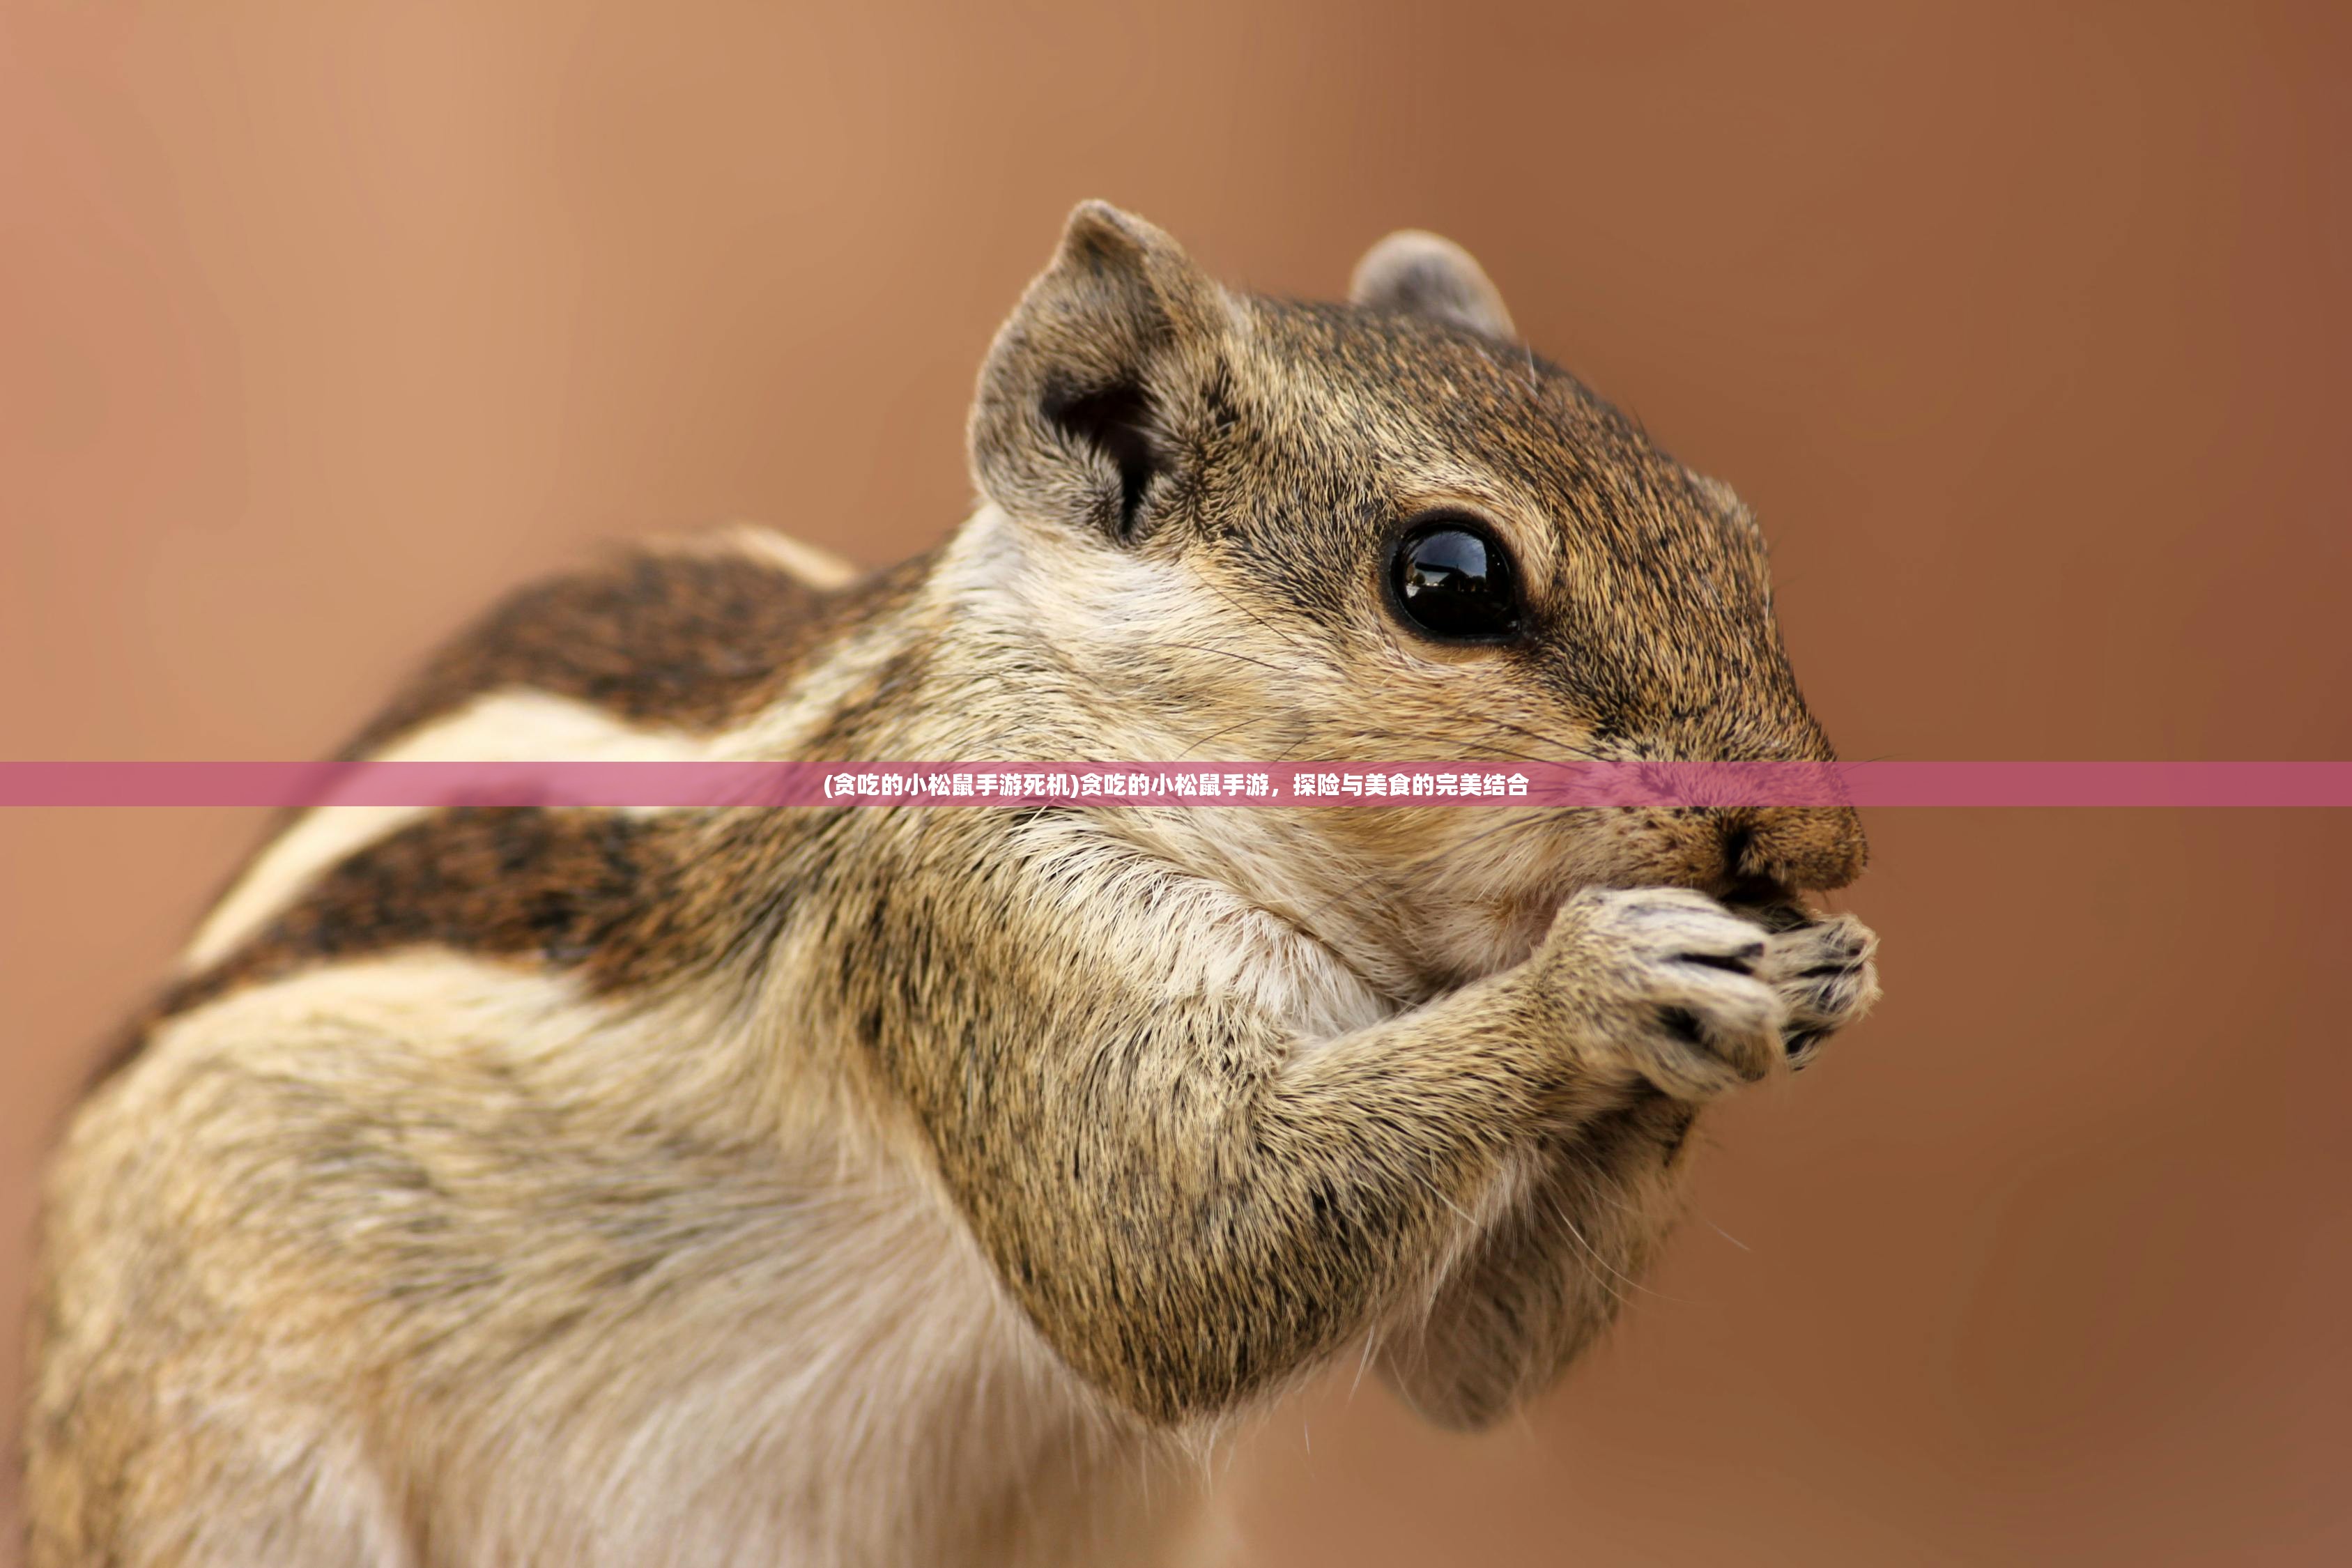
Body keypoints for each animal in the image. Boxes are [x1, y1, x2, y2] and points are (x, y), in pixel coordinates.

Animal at [22, 206, 1872, 1568]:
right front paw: (1605, 977)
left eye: (1735, 534)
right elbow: (1176, 1261)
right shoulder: (980, 918)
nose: (1817, 849)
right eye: (1449, 577)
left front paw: (1813, 970)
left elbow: (1457, 1369)